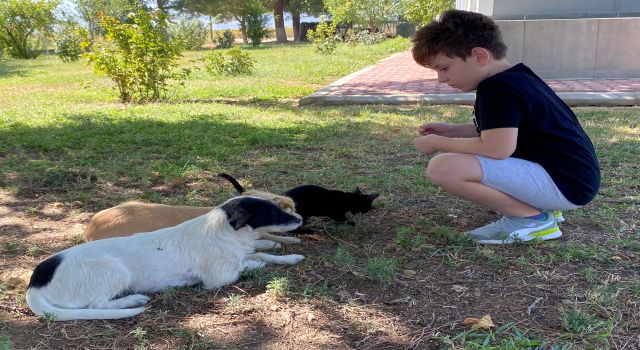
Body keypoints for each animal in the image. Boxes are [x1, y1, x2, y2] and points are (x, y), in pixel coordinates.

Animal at [26, 196, 304, 322]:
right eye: (271, 212)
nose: (301, 219)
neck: (224, 231)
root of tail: (35, 281)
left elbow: (264, 252)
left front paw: (291, 257)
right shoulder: (220, 278)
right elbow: (255, 261)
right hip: (114, 271)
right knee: (97, 305)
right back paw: (132, 300)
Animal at [220, 172, 380, 221]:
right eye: (368, 207)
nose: (369, 211)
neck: (348, 199)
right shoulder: (335, 213)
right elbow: (342, 219)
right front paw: (351, 222)